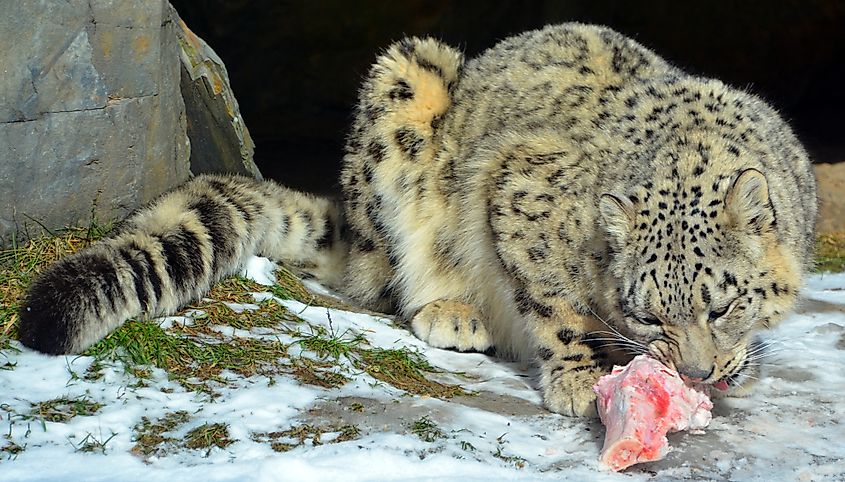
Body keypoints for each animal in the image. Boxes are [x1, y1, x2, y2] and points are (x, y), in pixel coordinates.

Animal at [19, 23, 817, 417]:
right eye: (648, 314)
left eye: (723, 305)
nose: (696, 372)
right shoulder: (518, 188)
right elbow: (553, 304)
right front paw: (576, 381)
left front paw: (740, 367)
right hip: (406, 90)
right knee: (381, 280)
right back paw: (453, 310)